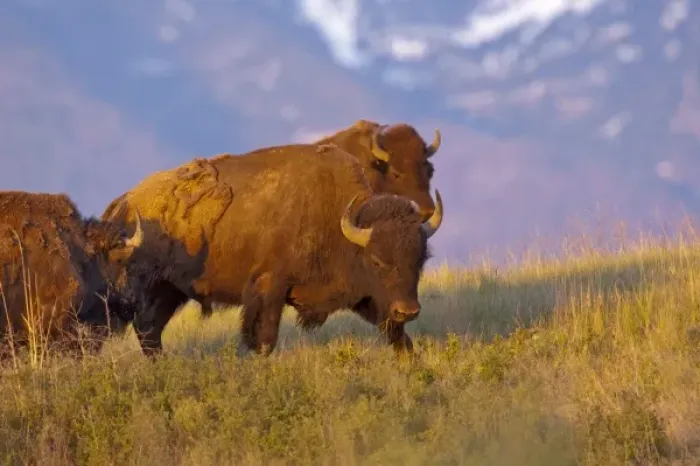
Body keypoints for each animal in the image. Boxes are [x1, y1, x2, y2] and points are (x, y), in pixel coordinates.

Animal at [101, 143, 443, 357]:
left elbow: (398, 337)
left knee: (150, 330)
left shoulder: (367, 299)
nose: (408, 310)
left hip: (171, 292)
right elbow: (264, 340)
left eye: (420, 260)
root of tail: (124, 202)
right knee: (146, 328)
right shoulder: (269, 291)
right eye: (376, 260)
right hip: (150, 287)